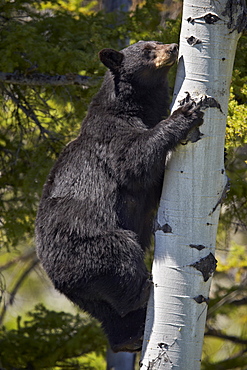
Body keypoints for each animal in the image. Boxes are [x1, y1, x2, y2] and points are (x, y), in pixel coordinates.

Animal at [35, 40, 204, 352]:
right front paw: (185, 113)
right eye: (147, 49)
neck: (132, 106)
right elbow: (135, 160)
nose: (172, 46)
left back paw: (129, 336)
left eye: (154, 41)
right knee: (121, 255)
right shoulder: (111, 135)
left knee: (109, 311)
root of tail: (56, 278)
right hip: (88, 246)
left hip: (88, 296)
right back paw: (142, 290)